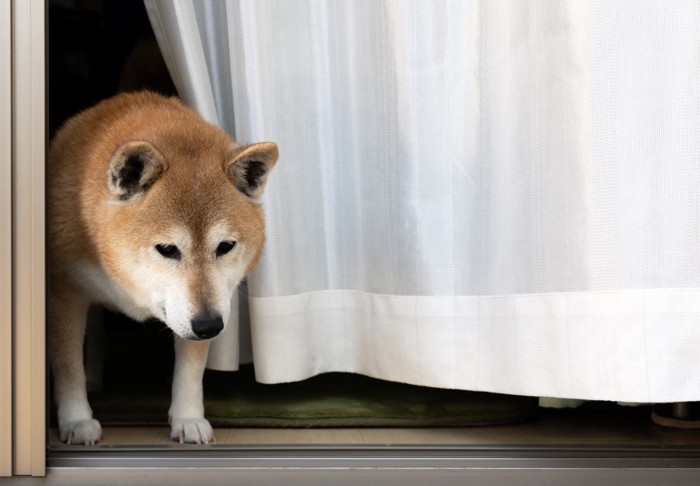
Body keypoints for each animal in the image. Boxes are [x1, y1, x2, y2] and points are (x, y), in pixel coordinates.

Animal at [47, 92, 278, 444]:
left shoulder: (202, 307)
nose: (209, 326)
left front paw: (188, 418)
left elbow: (191, 368)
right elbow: (68, 365)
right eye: (167, 249)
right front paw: (76, 420)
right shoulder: (63, 293)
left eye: (225, 247)